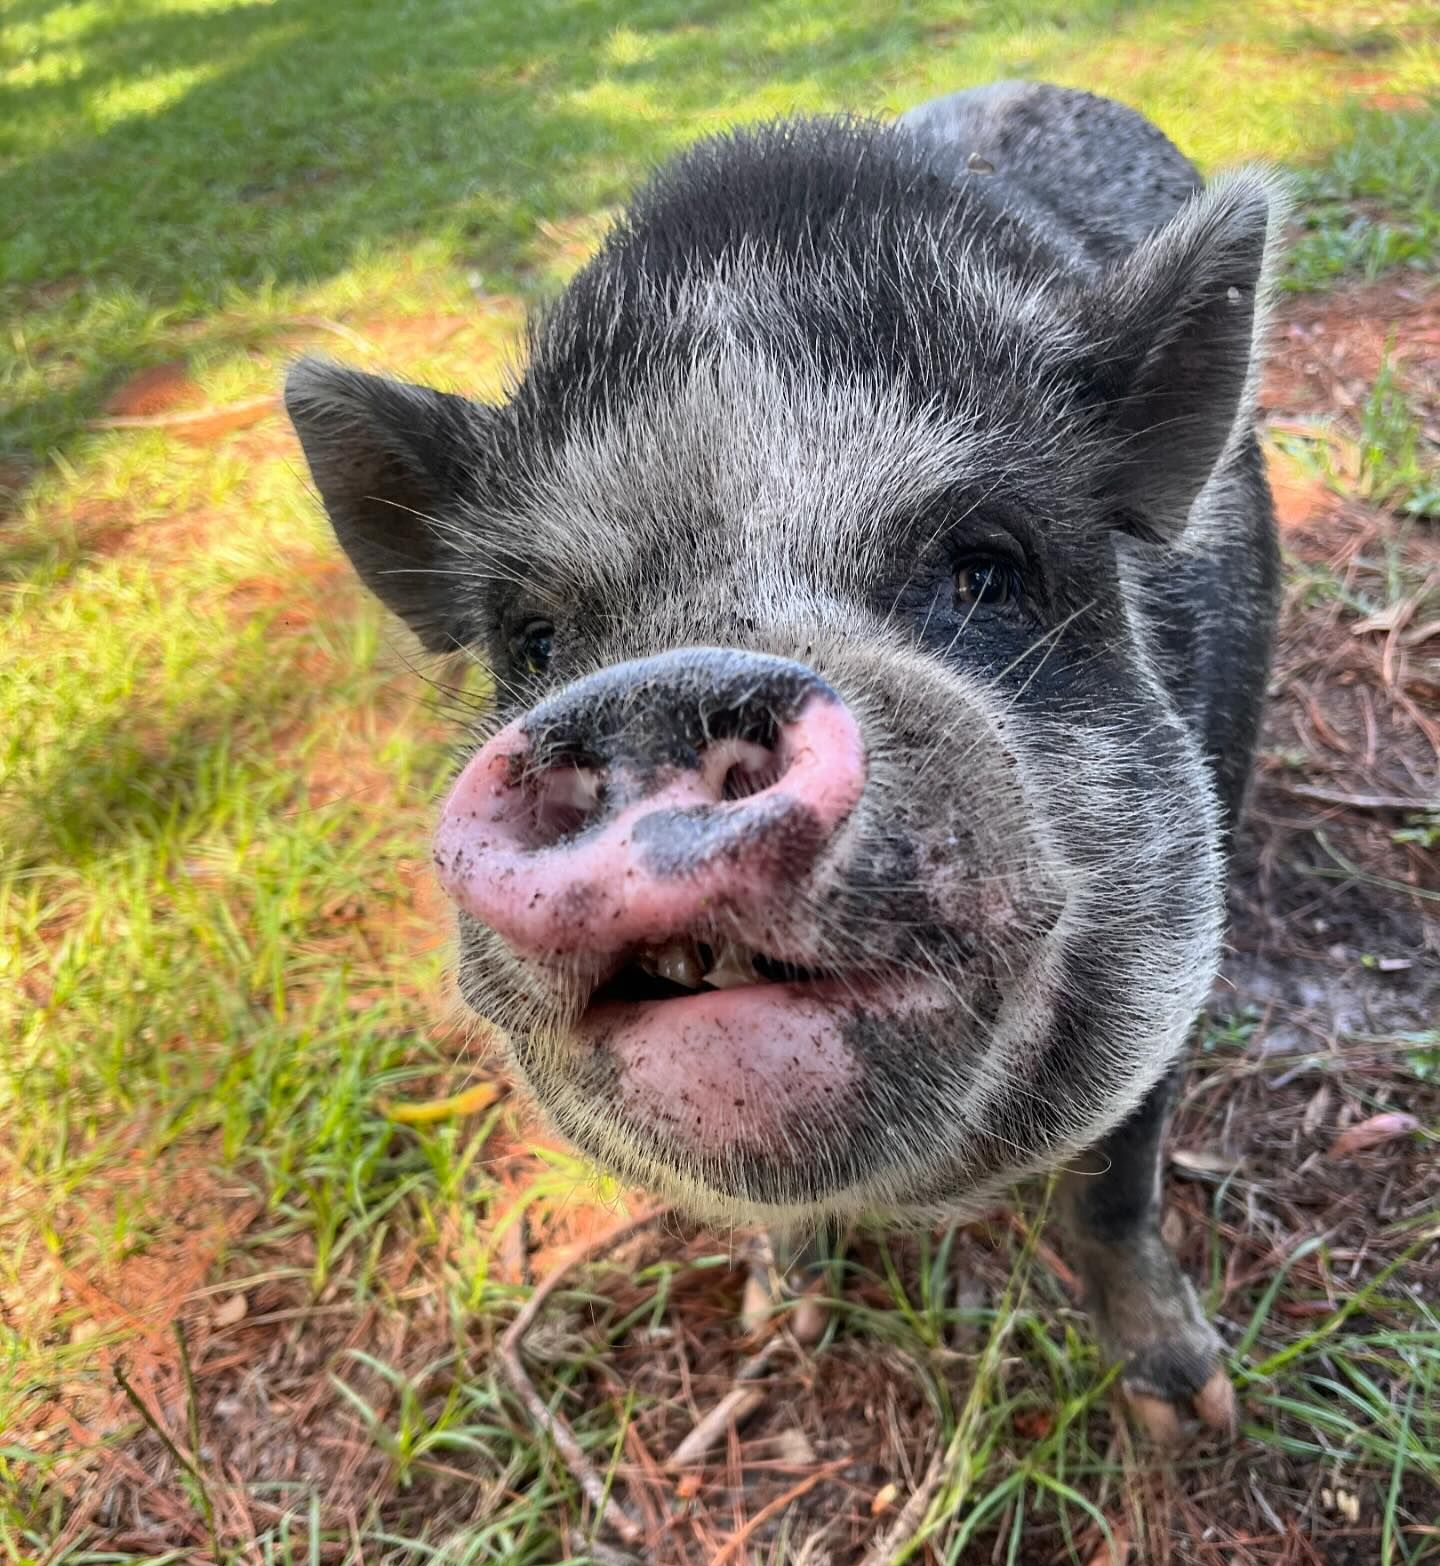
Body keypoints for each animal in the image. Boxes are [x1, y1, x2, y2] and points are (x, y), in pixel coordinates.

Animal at [285, 81, 1282, 1440]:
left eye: (986, 569)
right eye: (533, 639)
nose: (655, 695)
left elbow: (1112, 1186)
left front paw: (1191, 1415)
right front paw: (775, 1329)